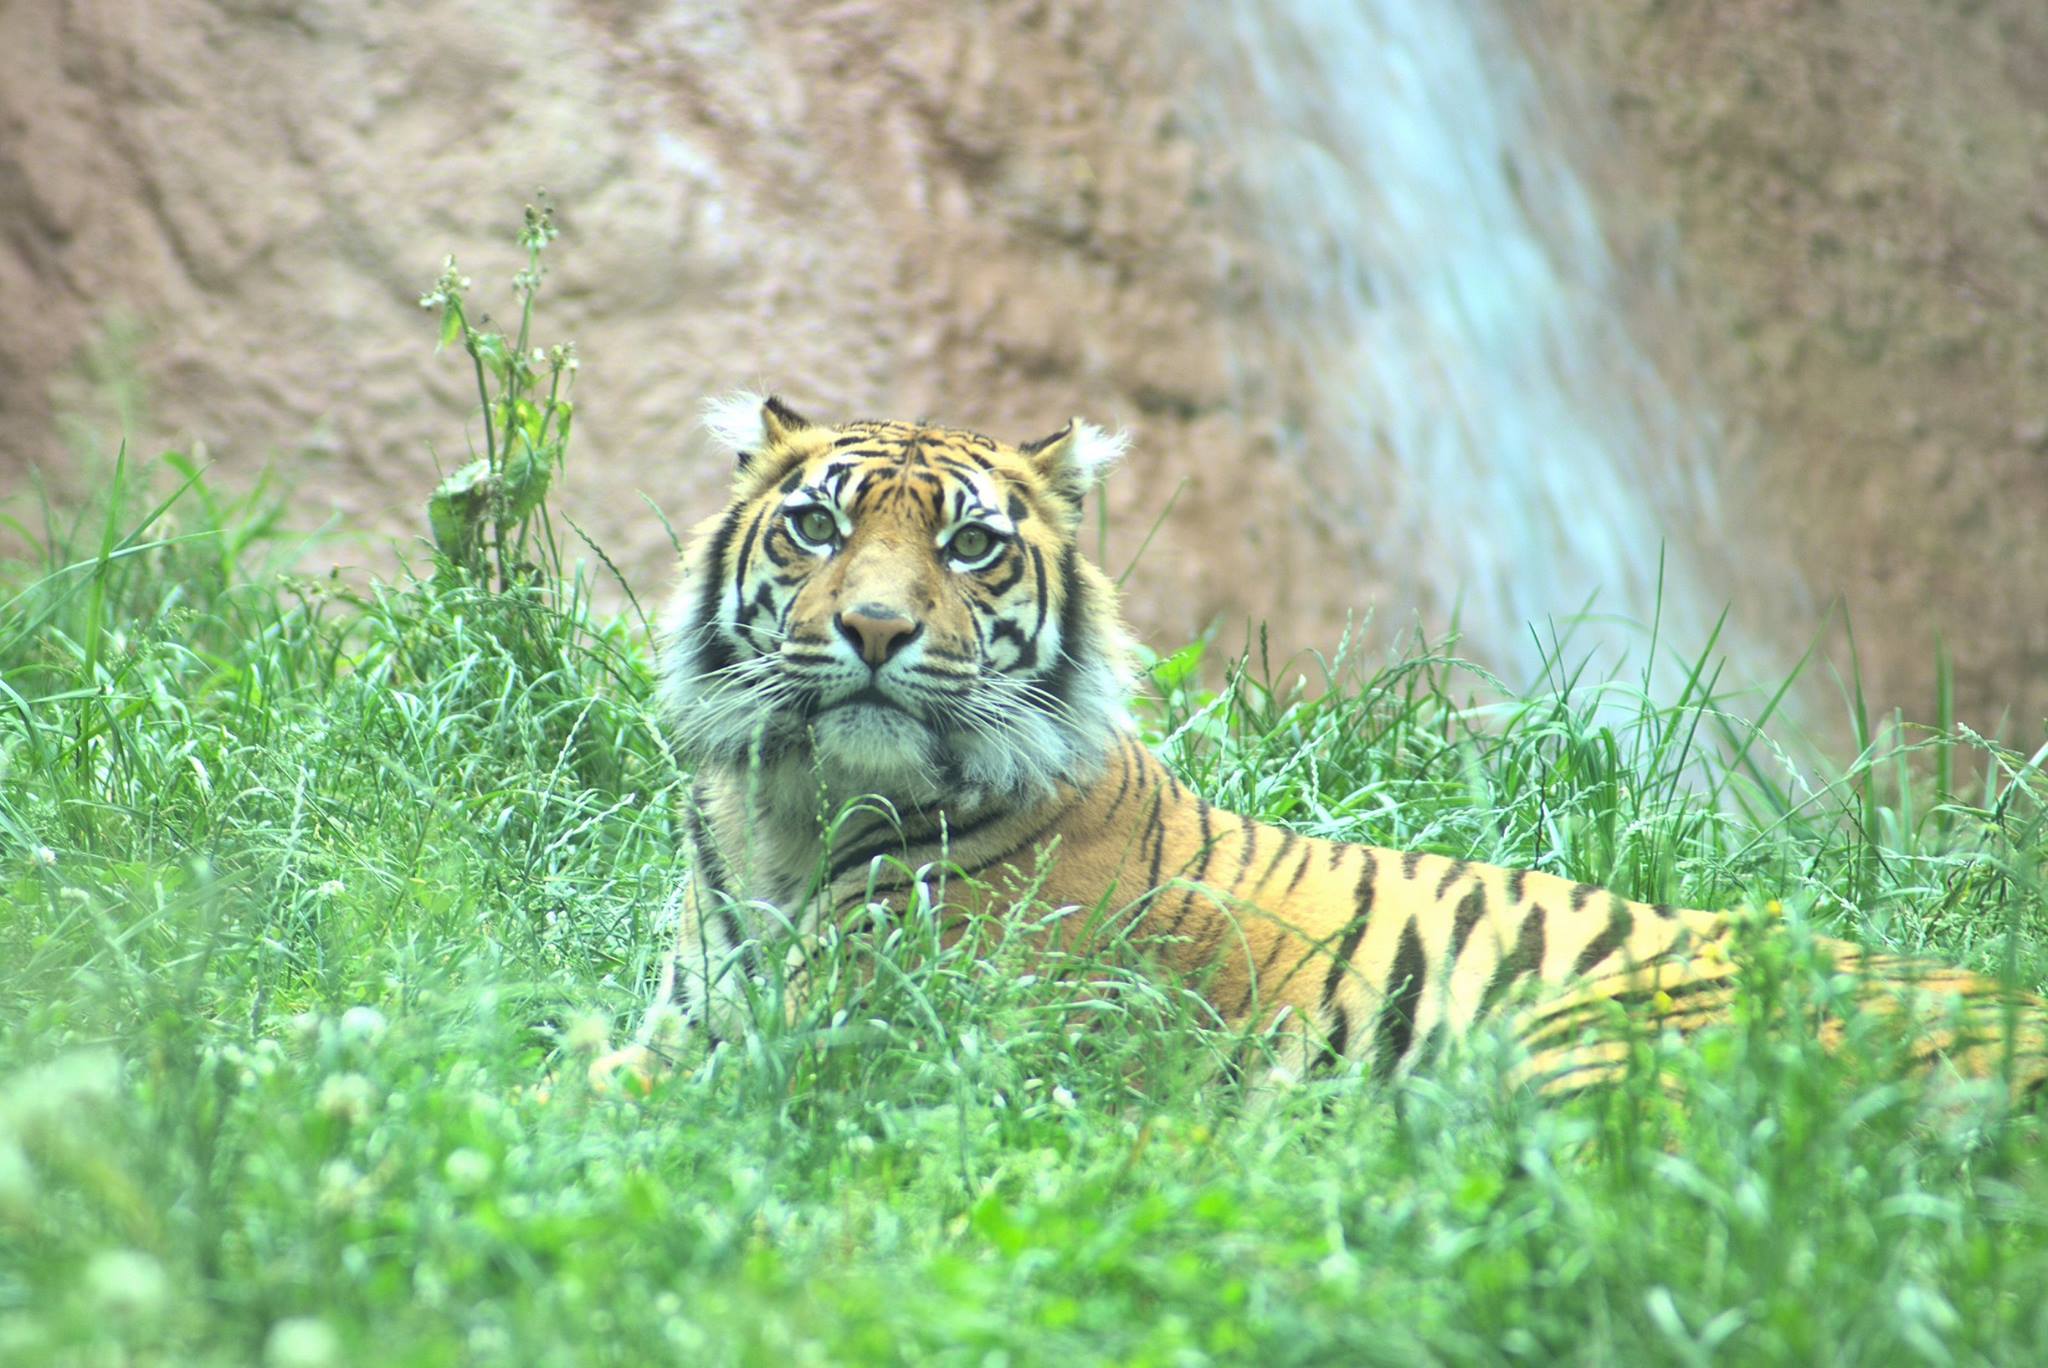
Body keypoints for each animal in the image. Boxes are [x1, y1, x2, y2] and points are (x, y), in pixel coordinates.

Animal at [595, 392, 2048, 1102]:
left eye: (968, 547)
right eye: (817, 529)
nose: (877, 629)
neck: (796, 815)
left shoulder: (852, 1040)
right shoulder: (688, 1017)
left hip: (1590, 1039)